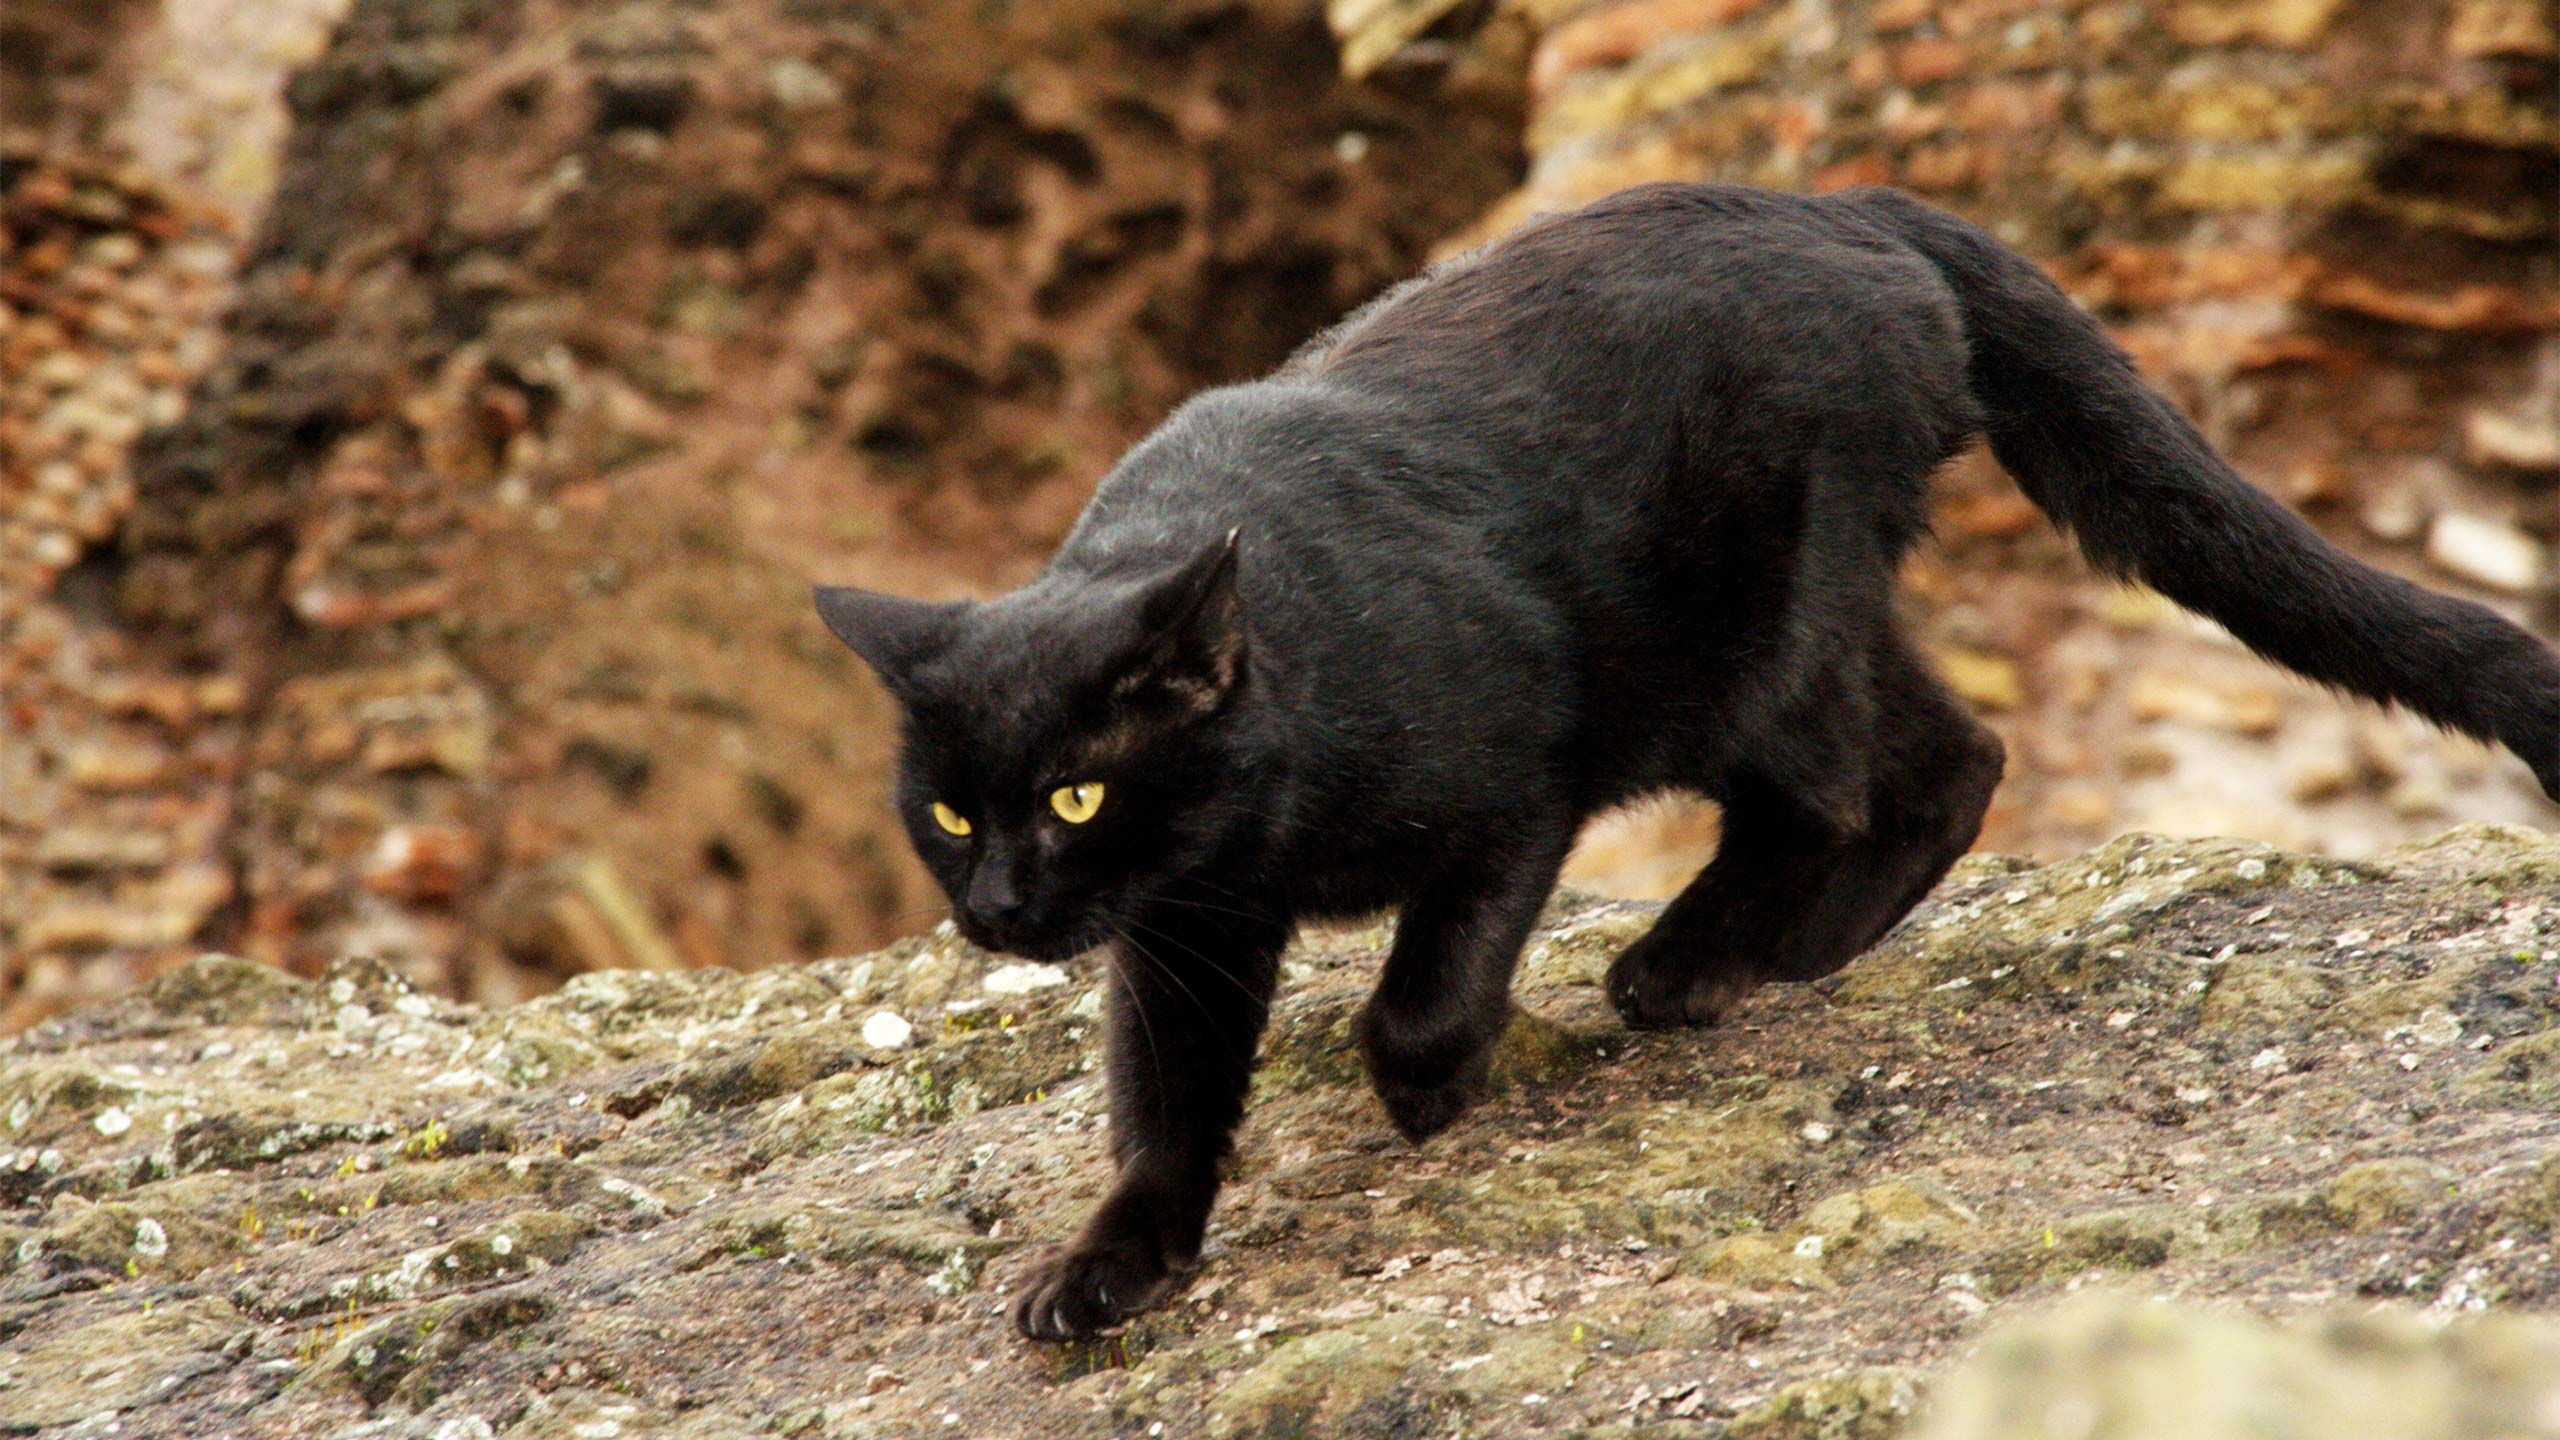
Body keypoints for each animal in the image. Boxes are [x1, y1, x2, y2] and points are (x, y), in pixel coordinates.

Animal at [814, 184, 2560, 1342]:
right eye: (952, 811)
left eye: (1078, 795)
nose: (1000, 907)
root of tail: (1845, 199)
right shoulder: (1184, 932)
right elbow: (1164, 1100)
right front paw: (1113, 1263)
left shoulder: (1517, 781)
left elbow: (1431, 979)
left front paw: (1427, 1085)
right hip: (1810, 620)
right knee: (1952, 756)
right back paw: (1777, 951)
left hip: (1751, 644)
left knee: (1843, 789)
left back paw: (1694, 965)